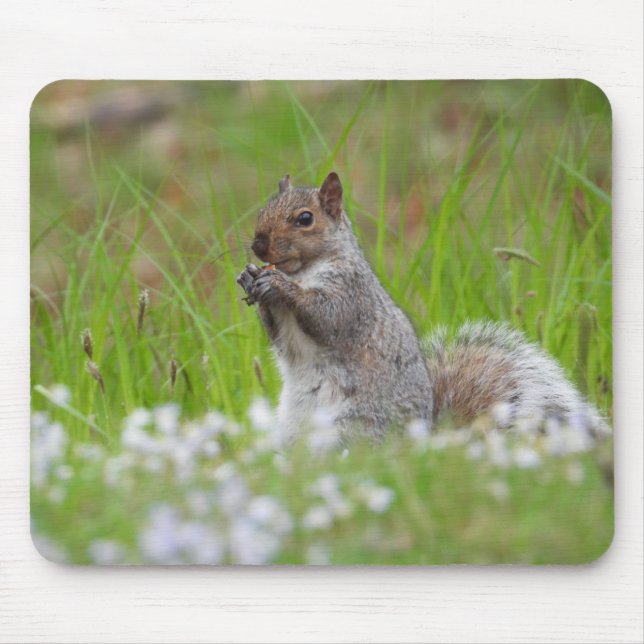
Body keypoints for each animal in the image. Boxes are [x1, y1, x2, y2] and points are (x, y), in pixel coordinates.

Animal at [237, 172, 610, 442]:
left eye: (305, 218)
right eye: (263, 210)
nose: (259, 244)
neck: (304, 269)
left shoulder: (352, 295)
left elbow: (327, 317)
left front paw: (279, 285)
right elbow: (278, 335)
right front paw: (249, 278)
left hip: (351, 426)